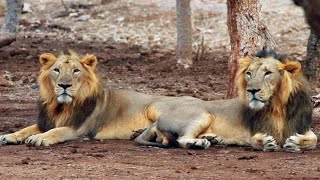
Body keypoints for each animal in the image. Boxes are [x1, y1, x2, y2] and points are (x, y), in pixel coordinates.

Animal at [135, 48, 318, 152]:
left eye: (268, 73)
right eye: (249, 73)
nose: (251, 90)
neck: (277, 105)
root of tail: (159, 119)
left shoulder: (302, 126)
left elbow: (314, 140)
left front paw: (296, 143)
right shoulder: (253, 131)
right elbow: (255, 140)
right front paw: (266, 143)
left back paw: (211, 139)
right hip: (203, 115)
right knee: (182, 139)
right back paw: (198, 143)